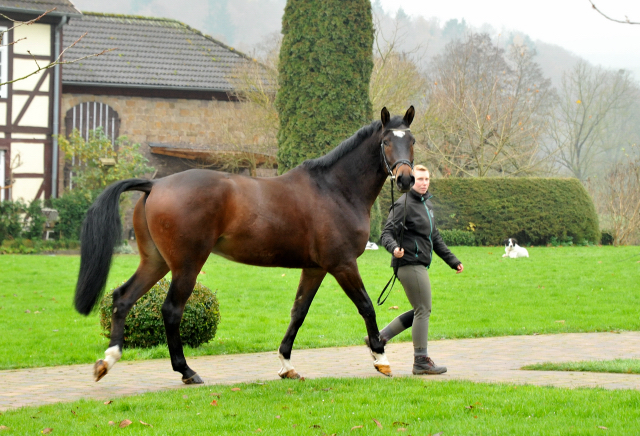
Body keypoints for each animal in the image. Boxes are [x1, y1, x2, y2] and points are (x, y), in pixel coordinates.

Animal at [75, 107, 418, 384]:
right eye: (386, 141)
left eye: (411, 140)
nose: (405, 179)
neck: (334, 189)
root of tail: (156, 183)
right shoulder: (342, 264)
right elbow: (366, 306)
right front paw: (381, 359)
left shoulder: (315, 268)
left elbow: (298, 312)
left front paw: (286, 365)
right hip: (186, 265)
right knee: (171, 310)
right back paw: (186, 371)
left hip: (155, 261)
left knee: (122, 298)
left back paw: (108, 361)